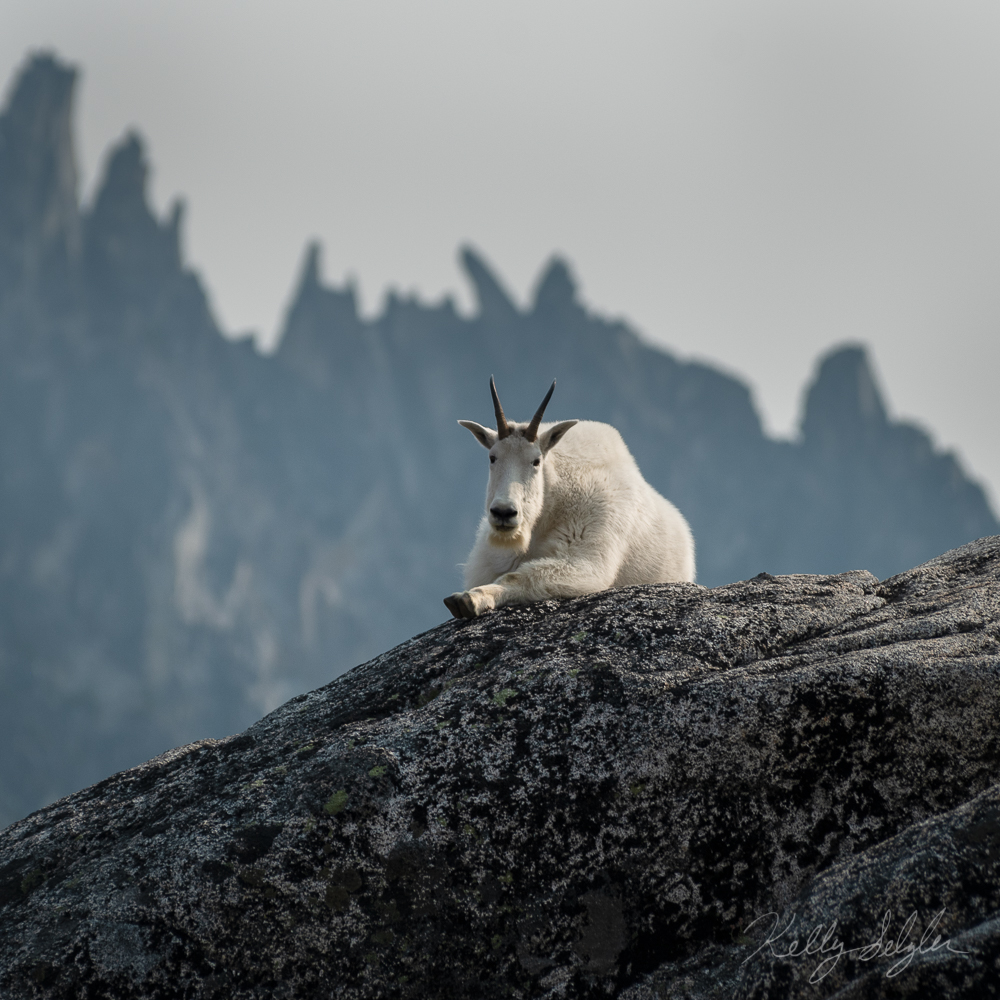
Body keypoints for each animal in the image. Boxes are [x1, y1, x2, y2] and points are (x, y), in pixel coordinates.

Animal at [446, 376, 696, 616]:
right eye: (492, 457)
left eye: (536, 461)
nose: (504, 513)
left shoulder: (587, 550)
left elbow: (520, 577)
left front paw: (470, 599)